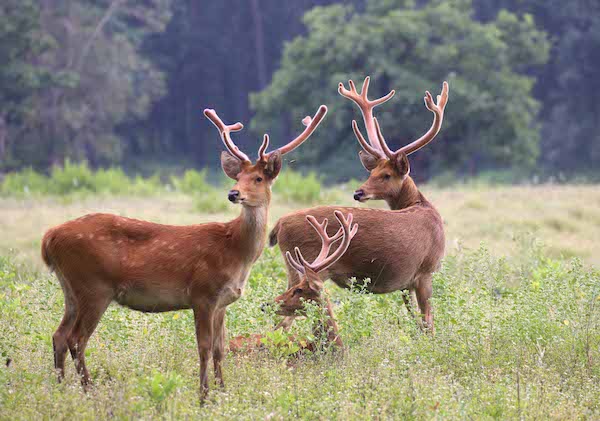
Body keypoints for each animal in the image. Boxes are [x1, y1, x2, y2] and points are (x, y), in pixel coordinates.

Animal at [41, 102, 328, 398]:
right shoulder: (202, 293)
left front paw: (223, 391)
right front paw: (203, 394)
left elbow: (219, 349)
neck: (236, 252)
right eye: (238, 176)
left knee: (59, 335)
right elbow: (203, 348)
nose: (233, 193)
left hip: (71, 288)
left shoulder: (222, 301)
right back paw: (89, 390)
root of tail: (49, 238)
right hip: (94, 286)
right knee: (76, 338)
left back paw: (60, 390)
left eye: (258, 178)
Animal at [270, 76, 448, 334]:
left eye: (385, 175)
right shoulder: (425, 271)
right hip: (305, 266)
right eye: (372, 172)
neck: (422, 206)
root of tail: (279, 225)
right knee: (283, 320)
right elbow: (428, 323)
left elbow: (415, 320)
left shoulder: (406, 283)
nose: (358, 192)